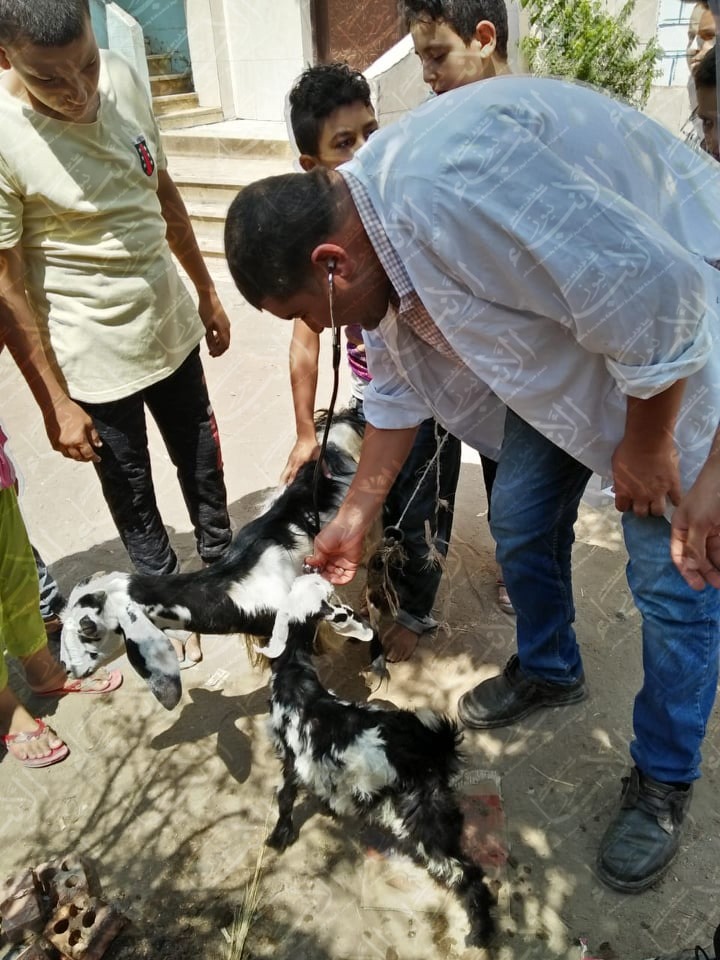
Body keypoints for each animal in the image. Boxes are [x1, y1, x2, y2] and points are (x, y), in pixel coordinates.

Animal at [262, 573, 496, 948]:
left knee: (464, 871)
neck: (296, 678)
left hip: (421, 814)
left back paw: (480, 933)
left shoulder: (290, 759)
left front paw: (279, 836)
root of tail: (431, 742)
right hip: (435, 806)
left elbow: (284, 798)